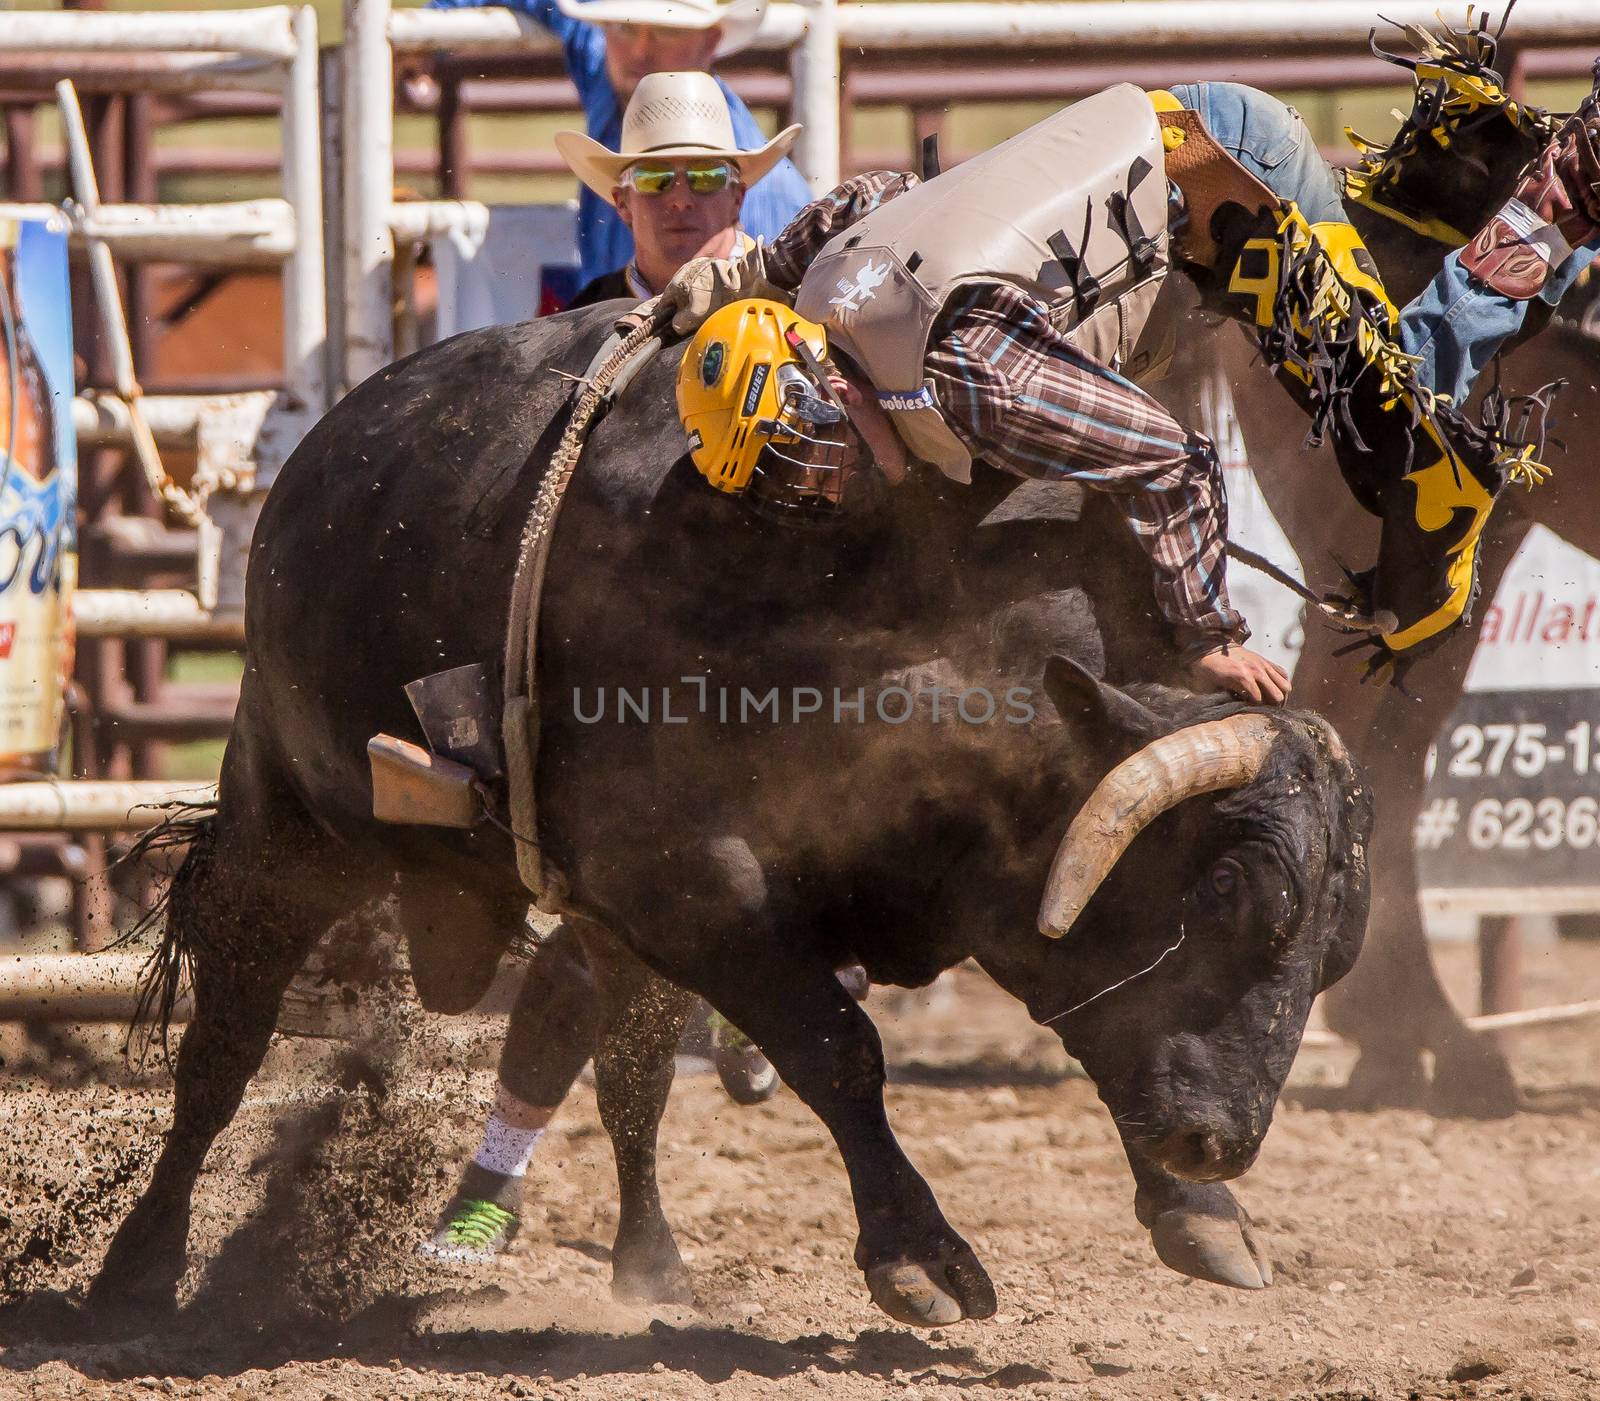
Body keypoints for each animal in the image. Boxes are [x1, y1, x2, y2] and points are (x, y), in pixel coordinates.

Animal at [93, 303, 1376, 1324]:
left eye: (1330, 954)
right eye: (1229, 889)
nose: (1223, 1142)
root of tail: (328, 449)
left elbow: (1096, 1024)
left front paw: (1195, 1207)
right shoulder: (698, 885)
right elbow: (838, 1050)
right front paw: (920, 1258)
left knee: (624, 1073)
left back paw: (649, 1260)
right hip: (286, 828)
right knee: (223, 1049)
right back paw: (138, 1269)